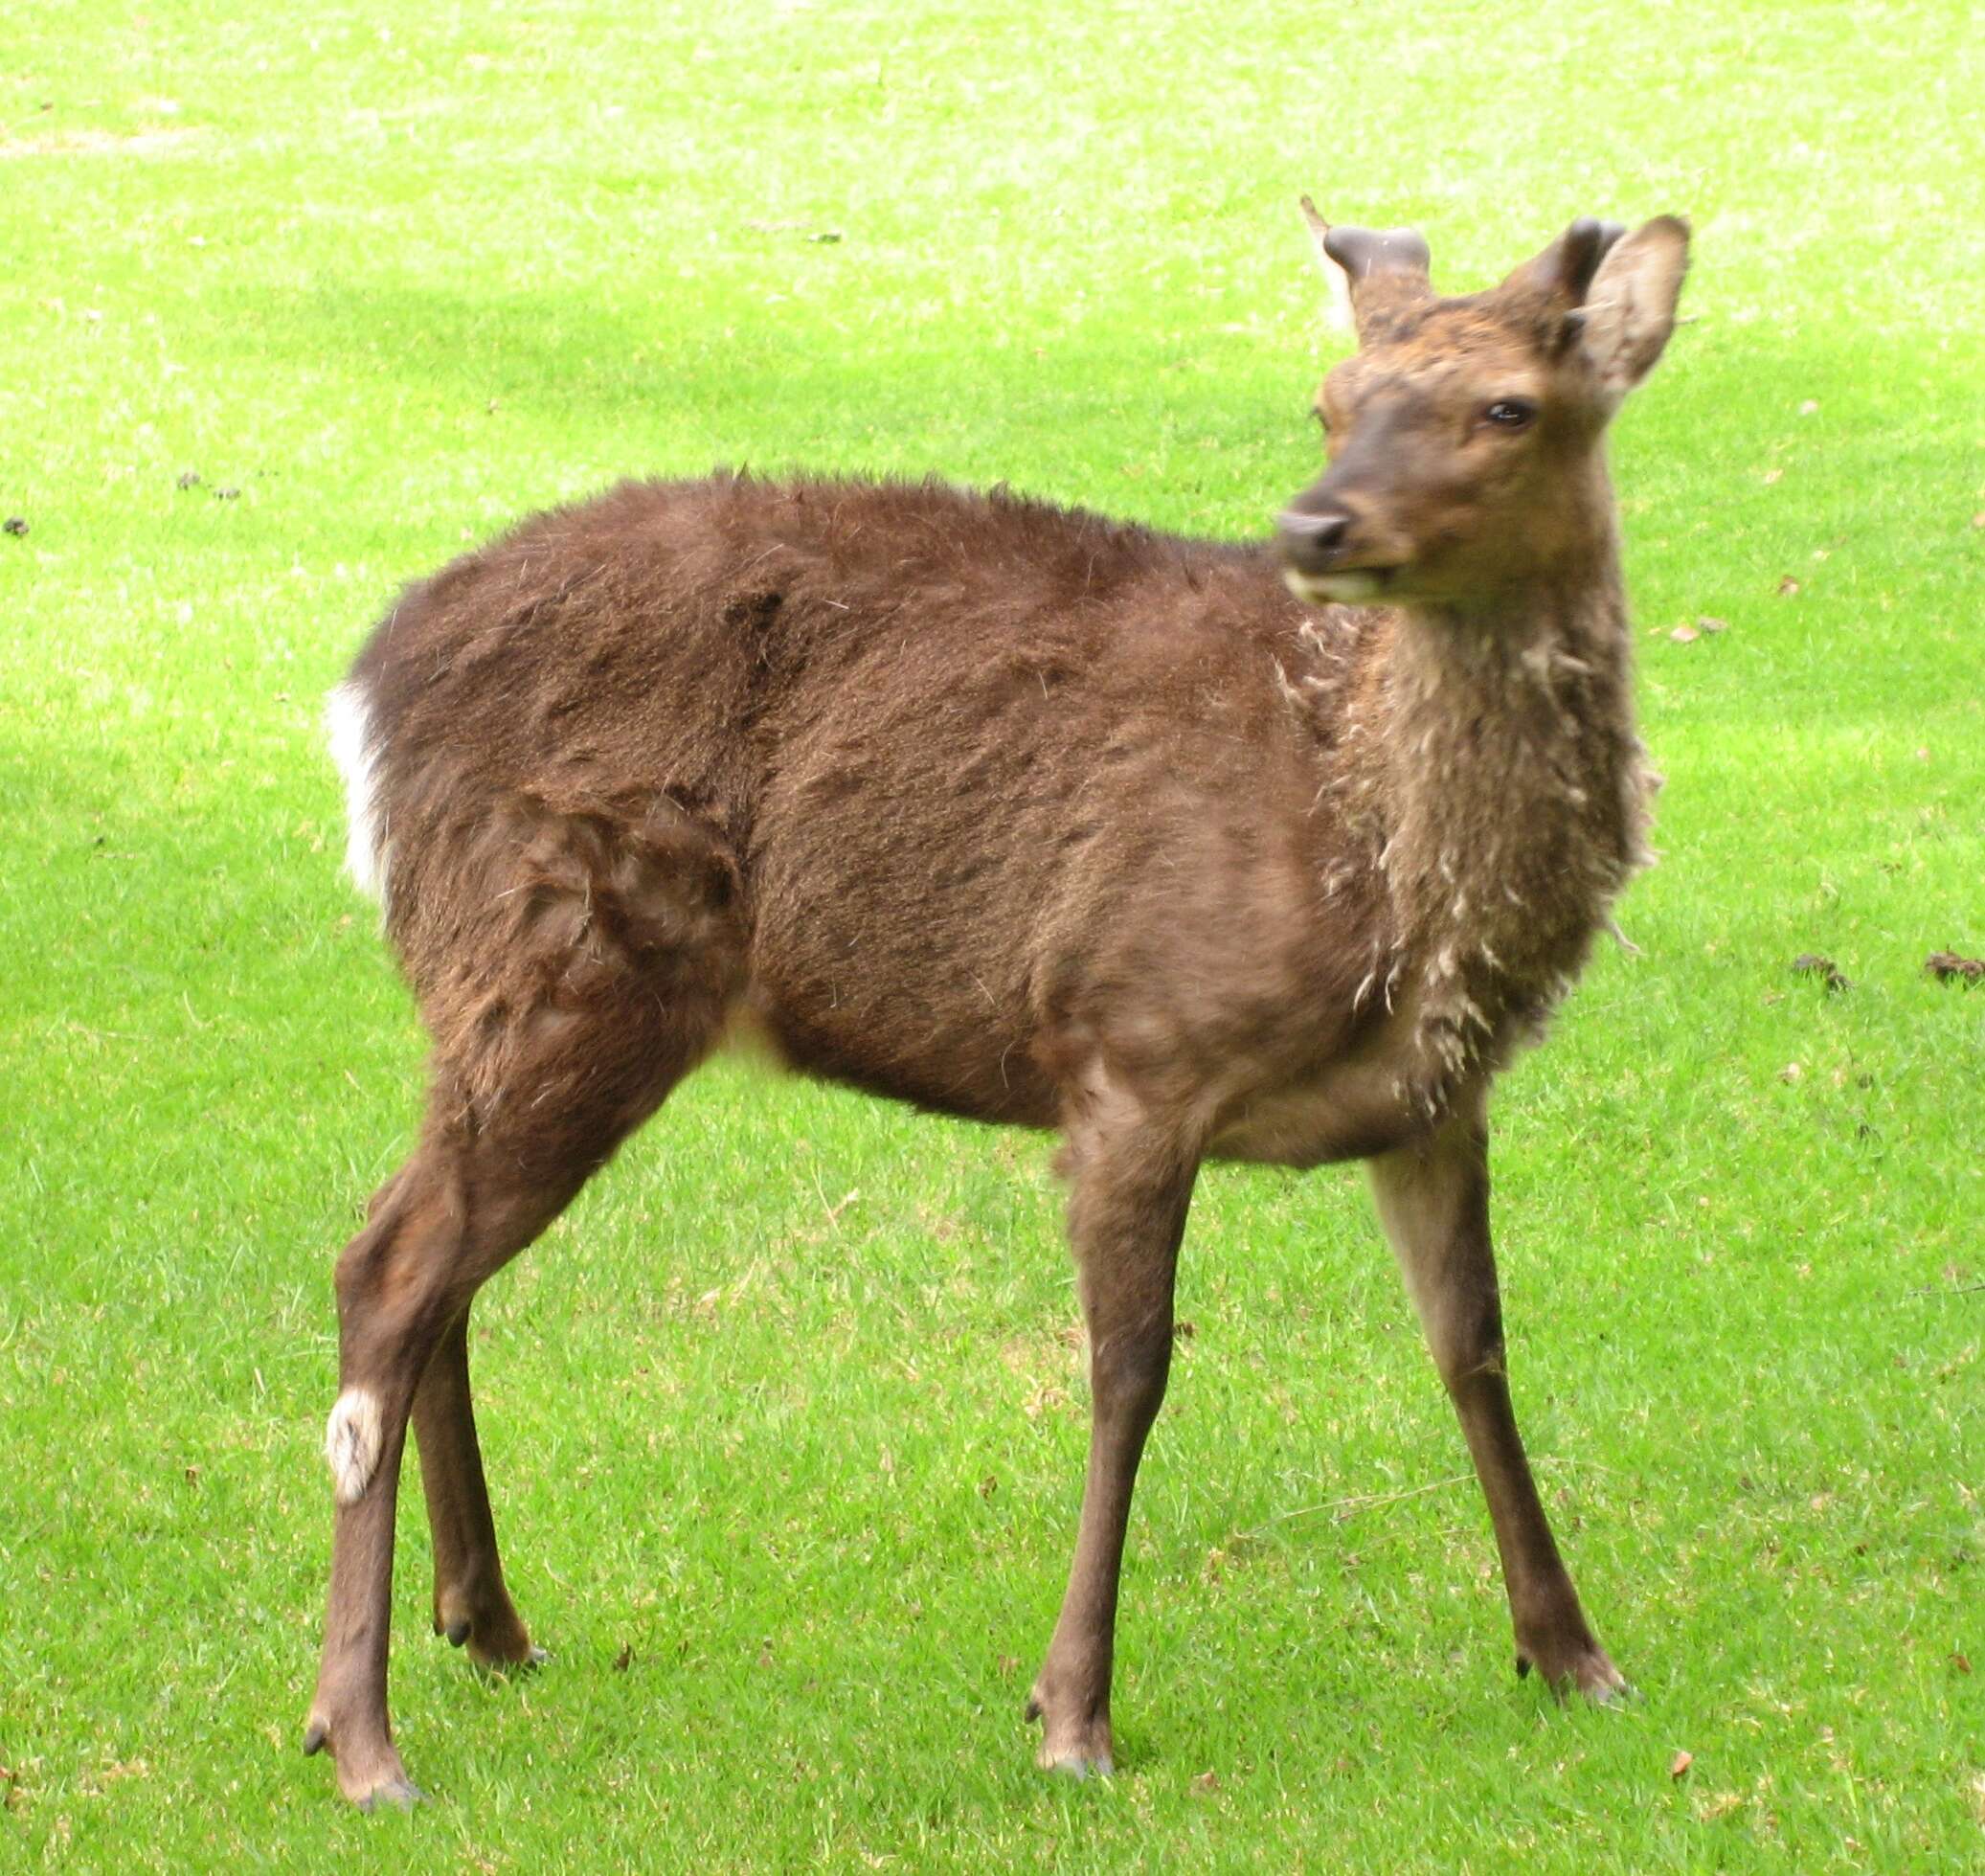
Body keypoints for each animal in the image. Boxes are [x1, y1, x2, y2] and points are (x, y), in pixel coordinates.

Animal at [305, 201, 1691, 1802]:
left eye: (1509, 406)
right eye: (1331, 403)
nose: (1316, 528)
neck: (1379, 863)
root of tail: (360, 703)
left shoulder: (1433, 1094)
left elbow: (1474, 1346)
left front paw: (1574, 1652)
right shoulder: (1131, 1045)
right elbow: (1129, 1372)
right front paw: (1072, 1711)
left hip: (504, 1004)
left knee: (432, 1268)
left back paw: (488, 1625)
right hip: (559, 967)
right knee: (387, 1265)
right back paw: (360, 1731)